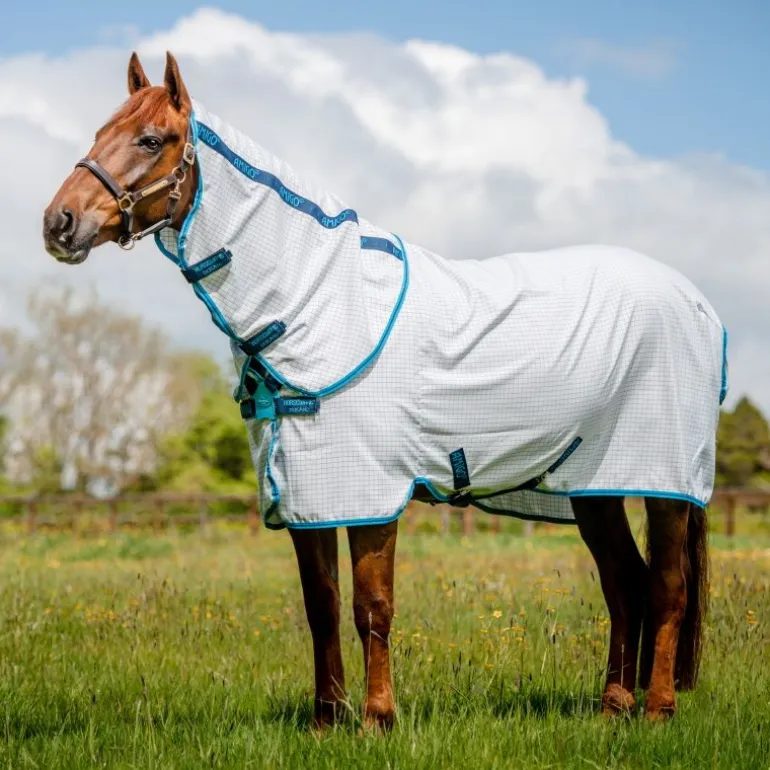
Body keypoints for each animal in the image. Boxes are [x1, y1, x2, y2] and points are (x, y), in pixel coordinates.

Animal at [44, 51, 722, 727]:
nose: (58, 222)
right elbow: (321, 605)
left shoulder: (367, 486)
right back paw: (612, 708)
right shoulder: (310, 487)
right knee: (624, 581)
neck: (321, 299)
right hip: (593, 484)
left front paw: (377, 717)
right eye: (100, 132)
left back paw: (657, 709)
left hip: (662, 480)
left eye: (150, 139)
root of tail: (698, 305)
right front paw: (327, 718)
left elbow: (372, 604)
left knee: (666, 586)